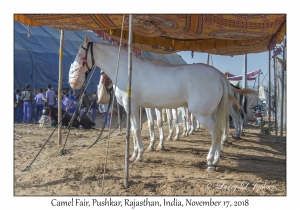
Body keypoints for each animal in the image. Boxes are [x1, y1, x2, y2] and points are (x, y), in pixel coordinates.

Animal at [72, 35, 246, 171]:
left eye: (81, 55)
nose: (73, 82)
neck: (127, 71)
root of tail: (218, 75)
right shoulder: (136, 108)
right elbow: (135, 131)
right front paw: (134, 154)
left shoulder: (132, 107)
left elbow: (136, 131)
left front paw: (139, 155)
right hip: (212, 113)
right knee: (219, 130)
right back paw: (216, 159)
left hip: (202, 114)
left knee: (216, 132)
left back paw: (210, 162)